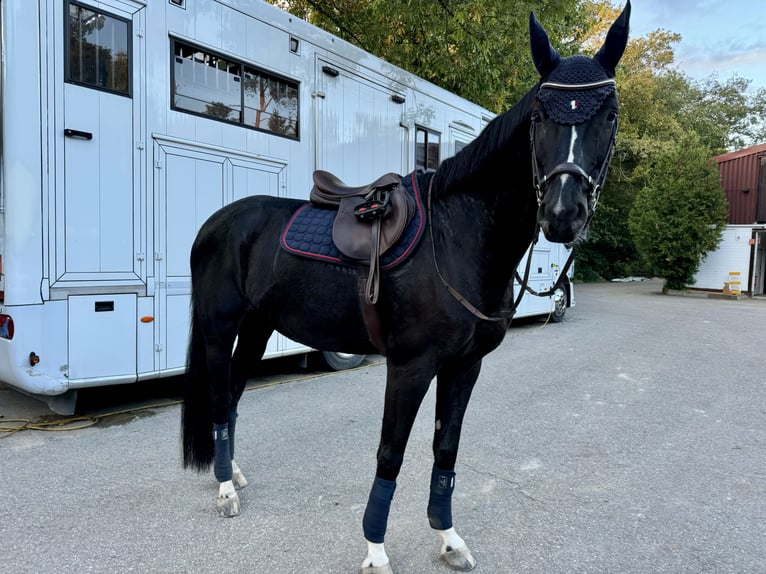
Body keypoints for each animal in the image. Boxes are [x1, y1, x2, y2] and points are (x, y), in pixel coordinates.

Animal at [183, 3, 632, 572]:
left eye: (609, 116)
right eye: (538, 117)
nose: (562, 214)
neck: (457, 234)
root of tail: (215, 223)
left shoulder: (464, 366)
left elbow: (446, 449)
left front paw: (449, 537)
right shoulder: (410, 365)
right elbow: (391, 453)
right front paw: (376, 549)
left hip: (258, 330)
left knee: (236, 397)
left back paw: (234, 476)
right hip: (219, 331)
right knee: (221, 400)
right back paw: (224, 491)